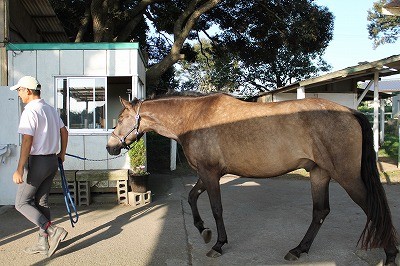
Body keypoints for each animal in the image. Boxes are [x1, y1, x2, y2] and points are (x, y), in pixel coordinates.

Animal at [104, 92, 398, 264]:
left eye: (120, 117)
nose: (110, 147)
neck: (194, 118)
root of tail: (352, 112)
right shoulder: (206, 174)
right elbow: (191, 197)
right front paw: (204, 230)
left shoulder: (210, 174)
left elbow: (217, 208)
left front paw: (218, 244)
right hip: (319, 174)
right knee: (320, 212)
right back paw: (298, 250)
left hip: (347, 177)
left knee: (373, 209)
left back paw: (390, 254)